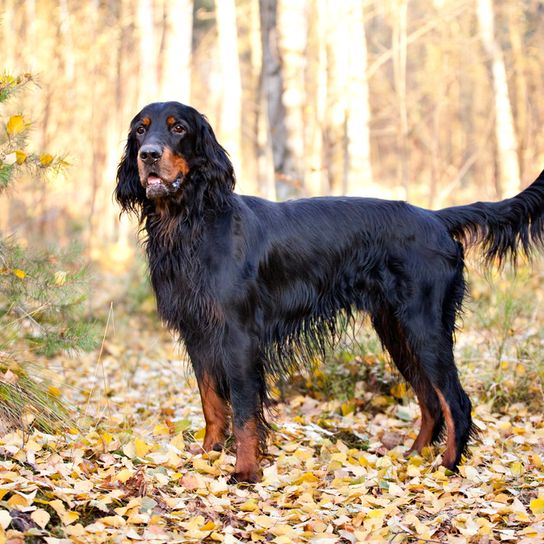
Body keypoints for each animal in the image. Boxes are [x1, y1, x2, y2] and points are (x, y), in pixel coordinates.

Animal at [116, 100, 544, 482]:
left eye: (178, 128)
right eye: (139, 129)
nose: (149, 155)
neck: (191, 223)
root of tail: (435, 218)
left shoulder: (238, 335)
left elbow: (243, 409)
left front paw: (246, 471)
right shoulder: (198, 332)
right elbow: (212, 403)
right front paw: (207, 455)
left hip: (425, 326)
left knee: (456, 401)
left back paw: (448, 466)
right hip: (397, 330)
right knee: (430, 399)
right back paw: (414, 456)